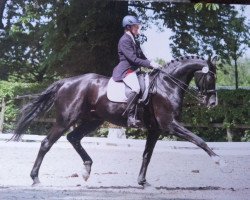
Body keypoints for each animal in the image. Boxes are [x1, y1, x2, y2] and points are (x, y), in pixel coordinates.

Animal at [10, 54, 225, 186]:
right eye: (210, 77)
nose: (213, 103)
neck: (166, 85)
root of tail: (65, 82)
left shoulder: (155, 129)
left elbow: (147, 155)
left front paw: (142, 182)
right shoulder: (170, 125)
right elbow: (198, 140)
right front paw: (218, 160)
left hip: (92, 120)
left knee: (73, 138)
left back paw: (86, 169)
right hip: (66, 119)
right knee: (47, 143)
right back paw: (35, 178)